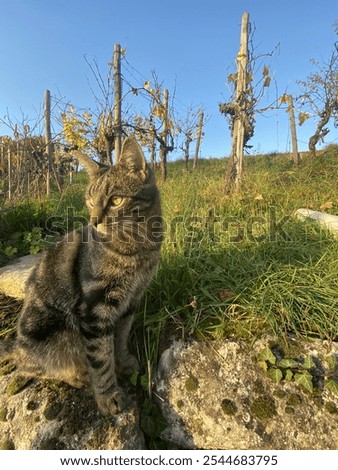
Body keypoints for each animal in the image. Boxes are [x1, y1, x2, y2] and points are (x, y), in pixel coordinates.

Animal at [3, 138, 162, 416]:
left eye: (116, 200)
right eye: (90, 200)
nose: (94, 221)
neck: (138, 248)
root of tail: (17, 344)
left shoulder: (131, 301)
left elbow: (120, 338)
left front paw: (124, 362)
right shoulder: (95, 309)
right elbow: (101, 357)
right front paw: (108, 395)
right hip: (52, 332)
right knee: (32, 367)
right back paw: (77, 375)